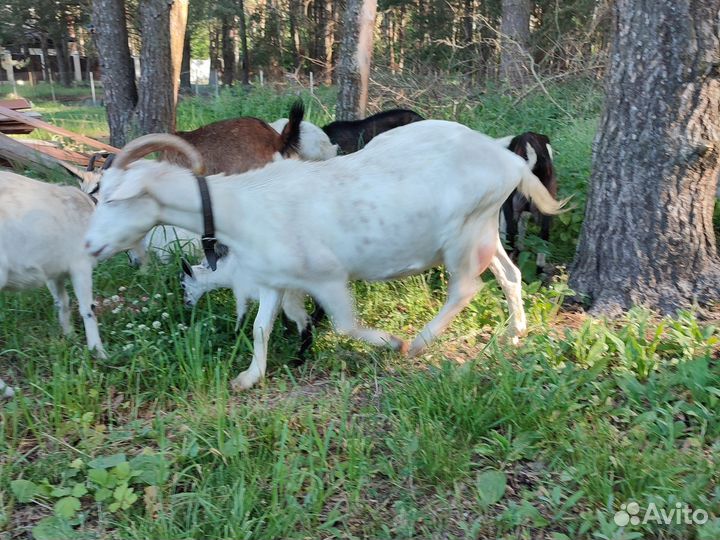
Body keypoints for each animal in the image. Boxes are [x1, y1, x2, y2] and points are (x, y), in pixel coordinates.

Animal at [1, 171, 106, 397]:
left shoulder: (53, 271)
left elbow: (63, 302)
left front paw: (70, 337)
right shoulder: (80, 264)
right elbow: (88, 309)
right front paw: (99, 353)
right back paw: (8, 390)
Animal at [180, 258, 313, 361]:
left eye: (183, 285)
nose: (186, 303)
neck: (228, 271)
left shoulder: (241, 293)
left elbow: (241, 317)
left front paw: (236, 337)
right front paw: (285, 333)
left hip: (291, 297)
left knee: (304, 319)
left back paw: (299, 358)